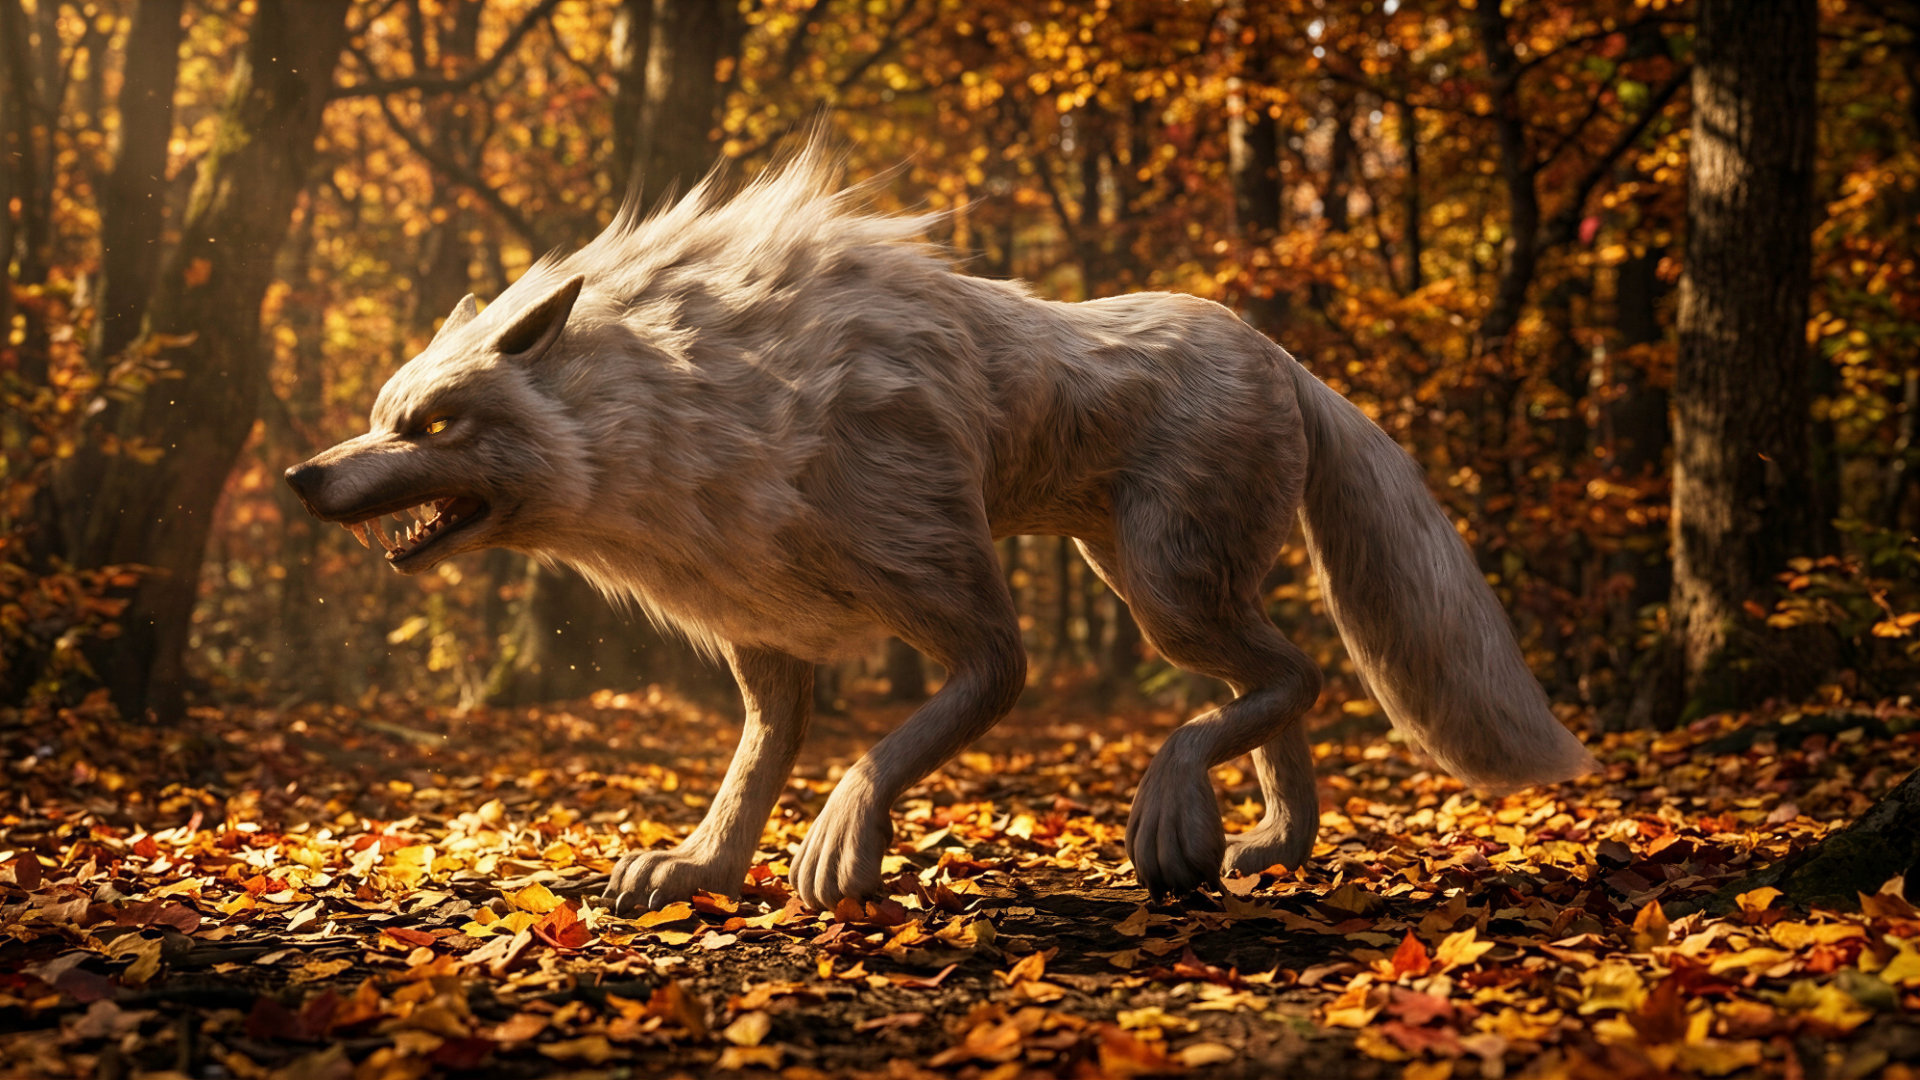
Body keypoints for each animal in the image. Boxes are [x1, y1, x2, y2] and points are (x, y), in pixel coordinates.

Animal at [285, 147, 1594, 913]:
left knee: (1293, 673)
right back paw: (1273, 846)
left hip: (1161, 590)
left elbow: (918, 728)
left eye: (435, 423)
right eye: (380, 419)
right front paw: (699, 869)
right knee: (1284, 681)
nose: (303, 475)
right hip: (1152, 581)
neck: (700, 398)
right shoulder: (766, 643)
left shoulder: (953, 600)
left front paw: (838, 846)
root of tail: (1287, 358)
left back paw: (1181, 819)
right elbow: (753, 768)